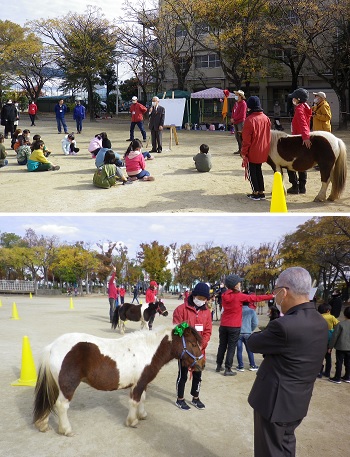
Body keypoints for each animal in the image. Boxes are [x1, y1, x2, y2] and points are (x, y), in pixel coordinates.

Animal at [33, 320, 204, 434]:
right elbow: (134, 402)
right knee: (61, 405)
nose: (202, 364)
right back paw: (66, 430)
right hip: (68, 386)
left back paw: (43, 425)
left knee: (50, 400)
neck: (148, 350)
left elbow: (142, 399)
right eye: (192, 343)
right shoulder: (139, 383)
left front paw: (142, 415)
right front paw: (132, 421)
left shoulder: (143, 382)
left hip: (58, 385)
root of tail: (52, 347)